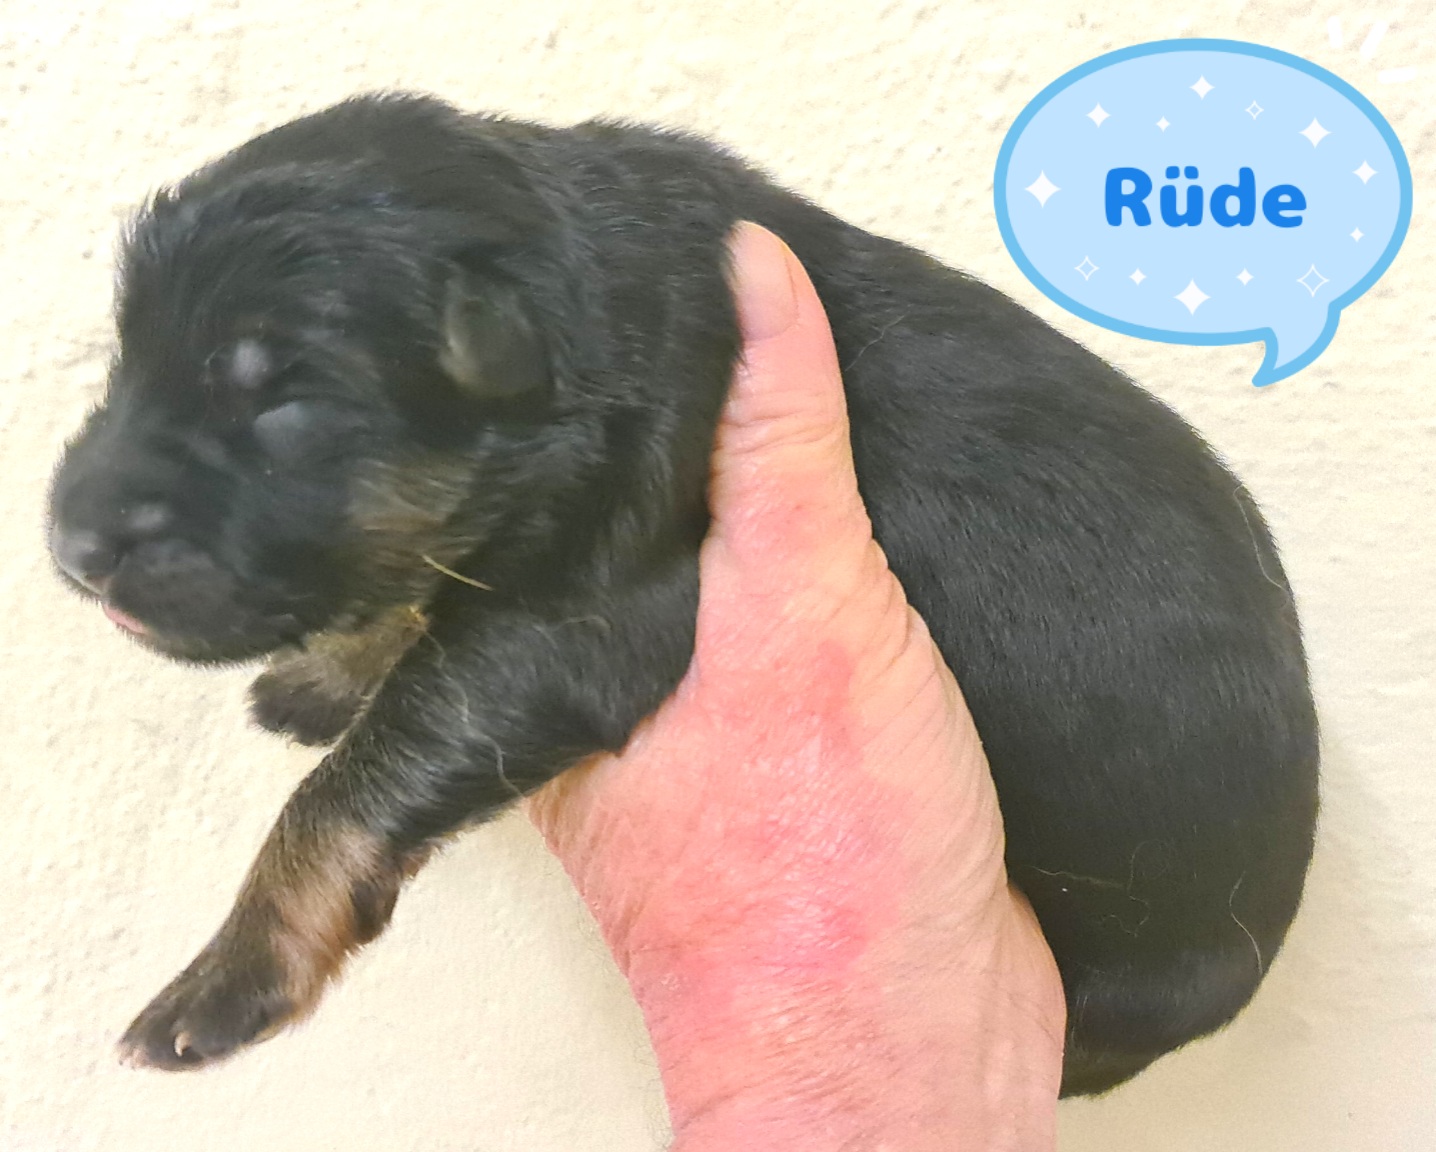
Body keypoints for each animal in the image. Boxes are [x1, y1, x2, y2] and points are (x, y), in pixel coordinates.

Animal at [46, 93, 1319, 1096]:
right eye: (128, 360)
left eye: (283, 404)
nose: (68, 542)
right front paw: (328, 675)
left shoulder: (580, 618)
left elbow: (343, 789)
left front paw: (223, 979)